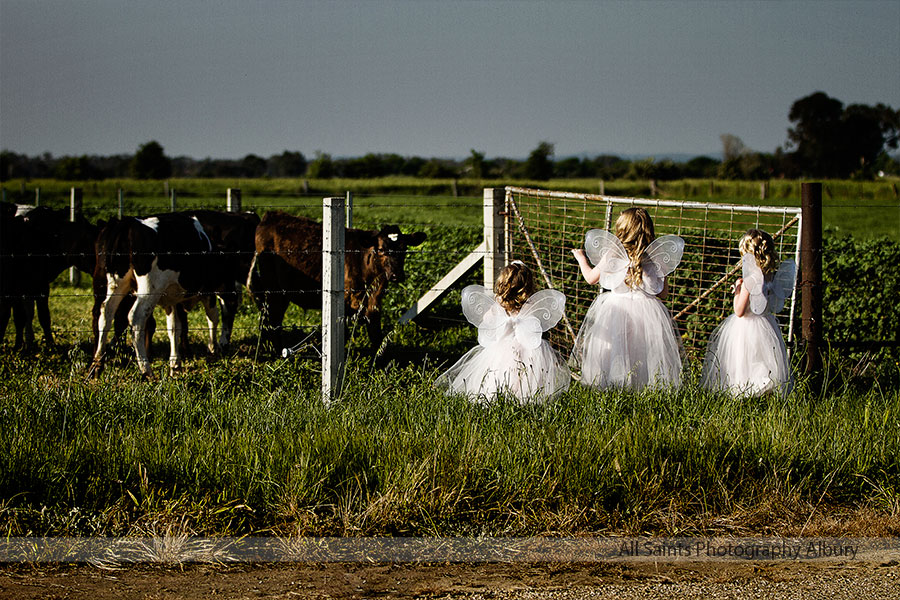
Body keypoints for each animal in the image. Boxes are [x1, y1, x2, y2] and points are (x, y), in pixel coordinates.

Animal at [89, 213, 221, 378]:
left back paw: (97, 365)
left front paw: (175, 364)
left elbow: (174, 328)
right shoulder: (209, 292)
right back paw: (146, 370)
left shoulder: (172, 299)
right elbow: (212, 318)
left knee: (105, 313)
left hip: (115, 284)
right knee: (136, 318)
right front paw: (212, 351)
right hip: (148, 290)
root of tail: (128, 222)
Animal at [248, 210, 428, 354]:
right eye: (381, 249)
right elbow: (344, 333)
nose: (397, 275)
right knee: (271, 318)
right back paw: (277, 351)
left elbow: (376, 333)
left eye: (404, 248)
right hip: (272, 287)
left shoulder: (374, 302)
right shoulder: (347, 301)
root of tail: (271, 215)